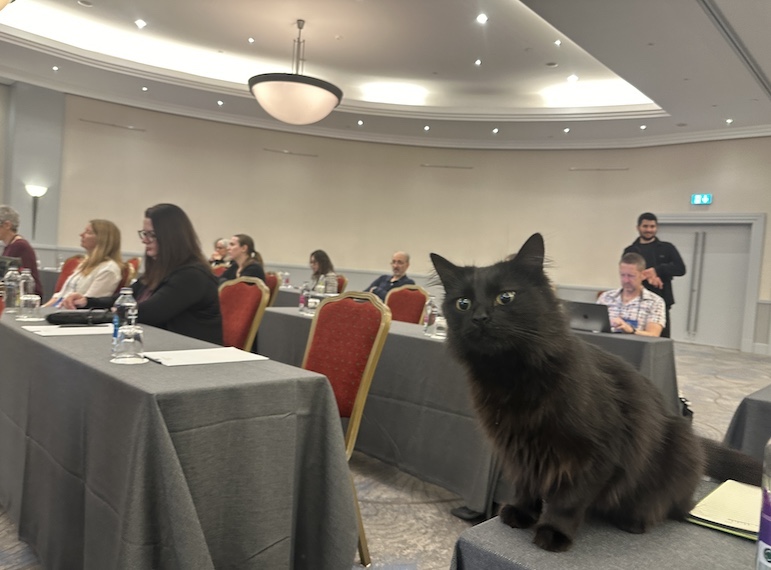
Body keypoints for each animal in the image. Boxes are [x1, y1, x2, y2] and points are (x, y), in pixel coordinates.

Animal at [432, 231, 764, 552]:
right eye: (463, 303)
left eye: (505, 297)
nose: (480, 317)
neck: (510, 376)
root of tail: (693, 437)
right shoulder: (518, 450)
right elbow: (526, 485)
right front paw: (522, 513)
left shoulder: (596, 454)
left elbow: (568, 500)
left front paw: (553, 532)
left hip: (676, 449)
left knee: (674, 506)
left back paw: (635, 519)